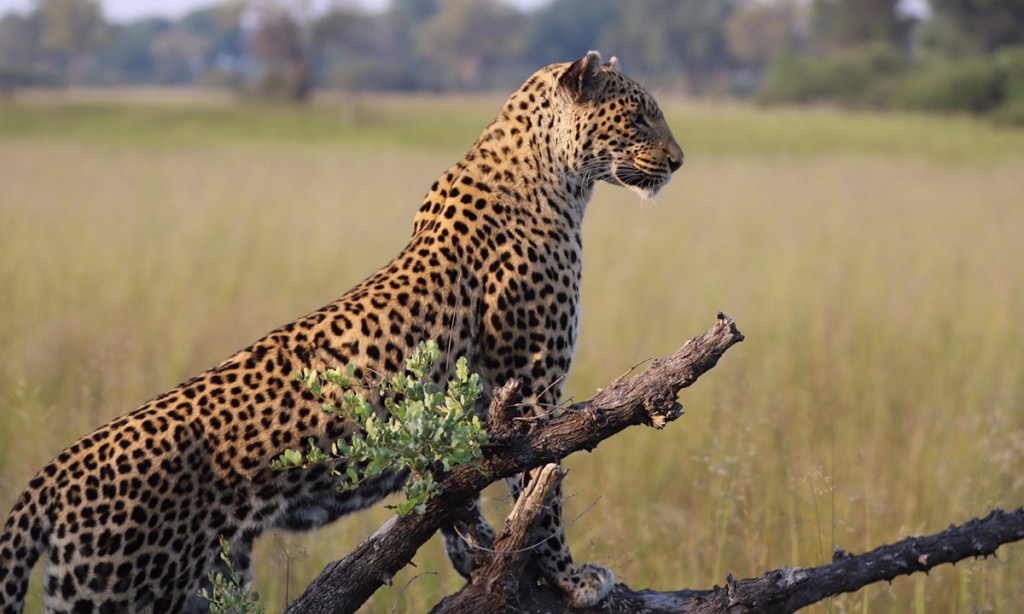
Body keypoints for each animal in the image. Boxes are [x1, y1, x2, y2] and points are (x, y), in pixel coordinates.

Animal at [0, 50, 683, 613]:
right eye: (640, 118)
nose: (678, 161)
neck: (559, 177)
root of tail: (54, 472)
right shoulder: (532, 384)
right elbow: (541, 496)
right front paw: (570, 580)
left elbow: (469, 497)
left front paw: (481, 559)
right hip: (117, 591)